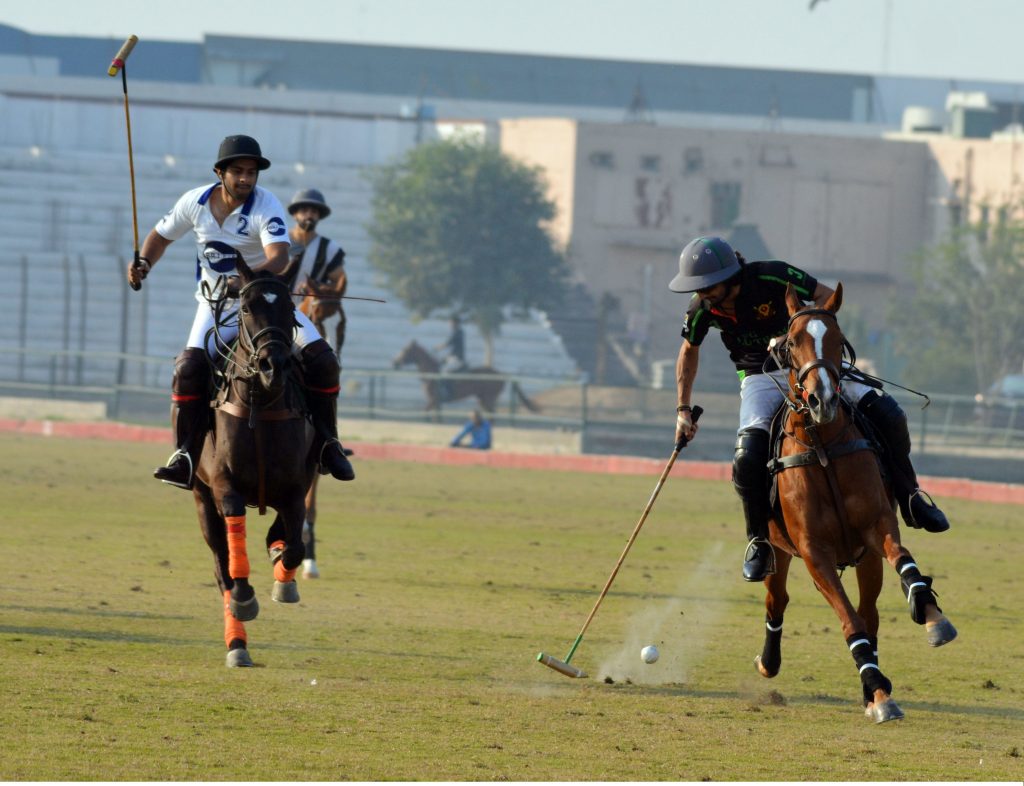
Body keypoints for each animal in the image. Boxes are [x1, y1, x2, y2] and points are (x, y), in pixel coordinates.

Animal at [192, 260, 315, 667]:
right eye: (245, 308)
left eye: (290, 309)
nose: (272, 365)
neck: (260, 401)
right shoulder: (223, 487)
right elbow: (235, 563)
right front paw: (246, 599)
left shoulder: (296, 487)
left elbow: (294, 545)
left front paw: (283, 579)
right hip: (201, 499)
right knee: (222, 569)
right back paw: (237, 644)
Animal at [387, 341, 540, 417]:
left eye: (405, 350)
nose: (394, 362)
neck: (432, 374)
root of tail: (501, 374)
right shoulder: (436, 403)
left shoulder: (433, 400)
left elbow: (426, 412)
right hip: (483, 400)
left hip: (488, 399)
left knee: (493, 416)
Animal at [753, 282, 958, 724]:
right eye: (791, 343)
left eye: (837, 338)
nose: (823, 400)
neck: (824, 448)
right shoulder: (815, 552)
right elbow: (849, 621)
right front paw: (879, 692)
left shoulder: (877, 526)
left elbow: (903, 560)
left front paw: (932, 616)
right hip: (778, 549)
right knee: (778, 599)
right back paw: (769, 662)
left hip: (865, 559)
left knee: (872, 610)